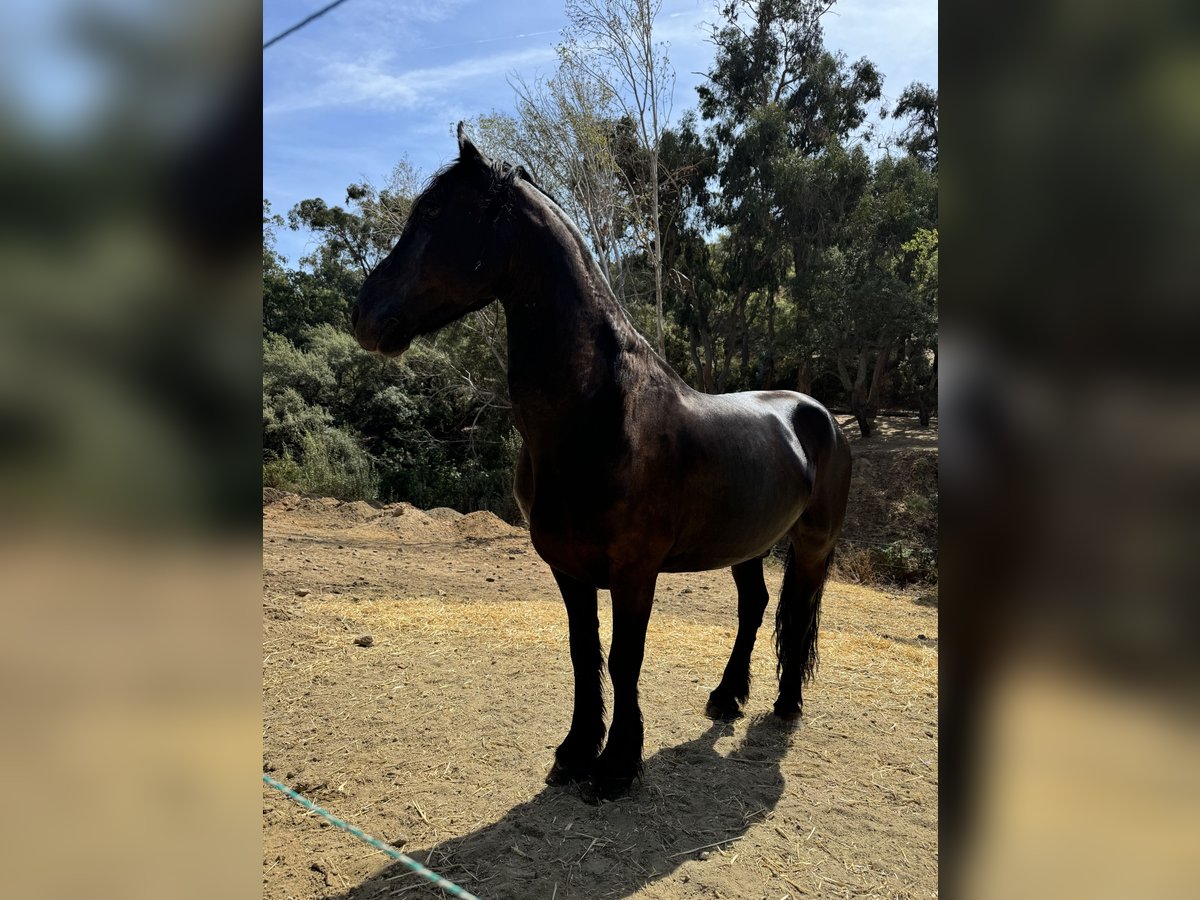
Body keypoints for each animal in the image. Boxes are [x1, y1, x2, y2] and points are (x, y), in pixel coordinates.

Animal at [350, 125, 849, 801]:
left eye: (432, 215)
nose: (363, 314)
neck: (600, 418)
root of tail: (819, 414)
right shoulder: (569, 565)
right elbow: (583, 651)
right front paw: (576, 750)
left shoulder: (635, 571)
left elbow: (623, 657)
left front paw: (616, 767)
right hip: (746, 541)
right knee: (755, 606)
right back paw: (726, 697)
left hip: (814, 542)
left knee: (797, 615)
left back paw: (787, 704)